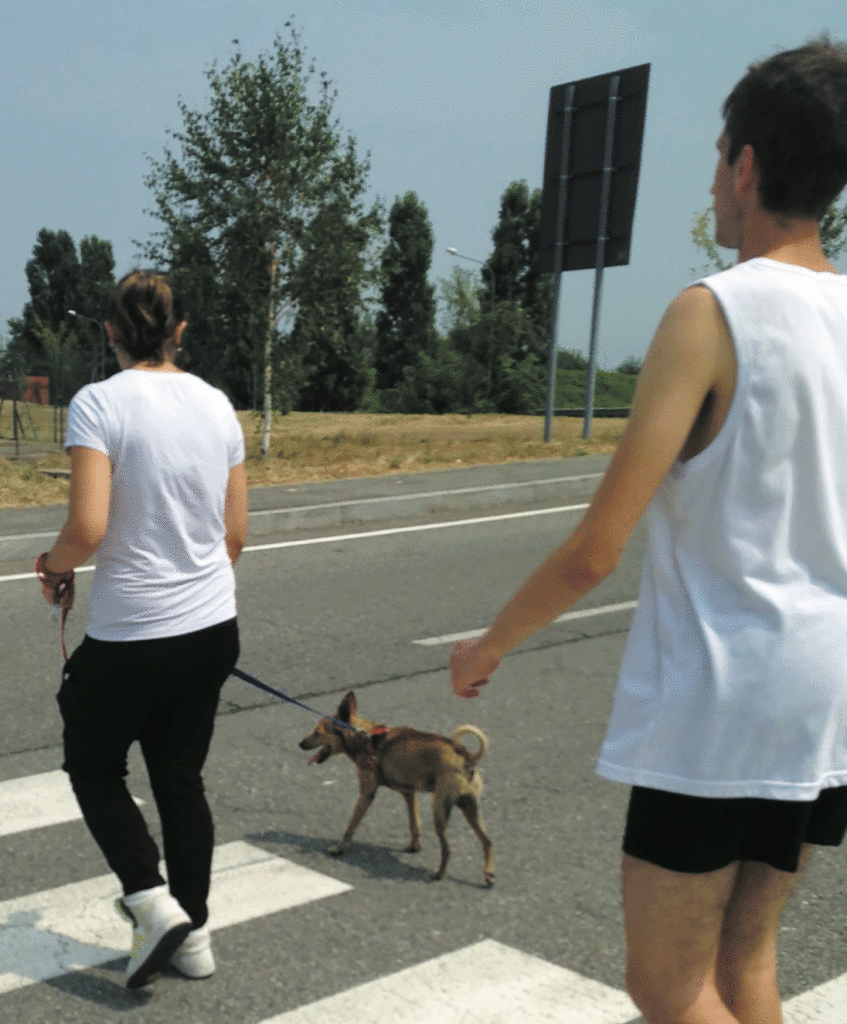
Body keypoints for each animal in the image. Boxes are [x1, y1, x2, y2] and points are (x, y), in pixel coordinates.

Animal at [299, 692, 493, 884]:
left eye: (317, 732)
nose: (300, 744)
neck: (364, 737)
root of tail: (466, 757)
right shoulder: (409, 793)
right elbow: (414, 823)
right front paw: (415, 846)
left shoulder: (366, 794)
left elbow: (351, 826)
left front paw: (339, 848)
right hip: (469, 807)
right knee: (487, 841)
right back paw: (489, 874)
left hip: (440, 810)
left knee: (448, 848)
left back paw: (440, 873)